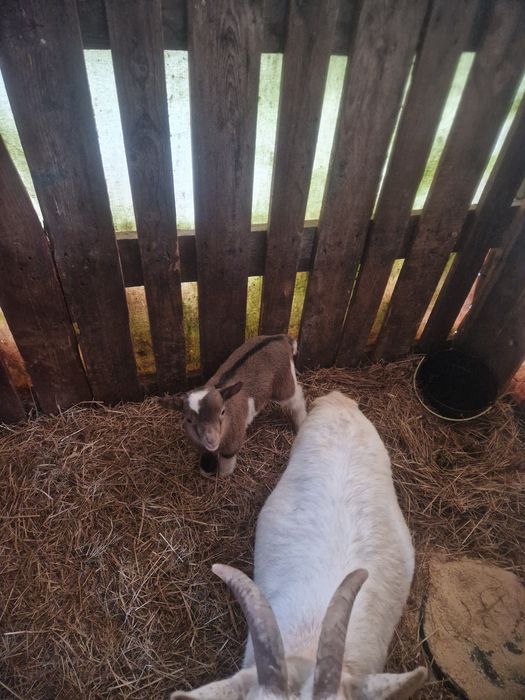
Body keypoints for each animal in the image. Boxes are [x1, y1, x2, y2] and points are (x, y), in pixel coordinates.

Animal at [161, 334, 306, 476]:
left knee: (296, 397)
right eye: (189, 419)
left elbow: (227, 461)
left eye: (222, 412)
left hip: (284, 383)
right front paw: (205, 469)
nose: (211, 440)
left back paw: (301, 422)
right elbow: (207, 454)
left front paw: (223, 476)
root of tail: (281, 338)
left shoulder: (233, 440)